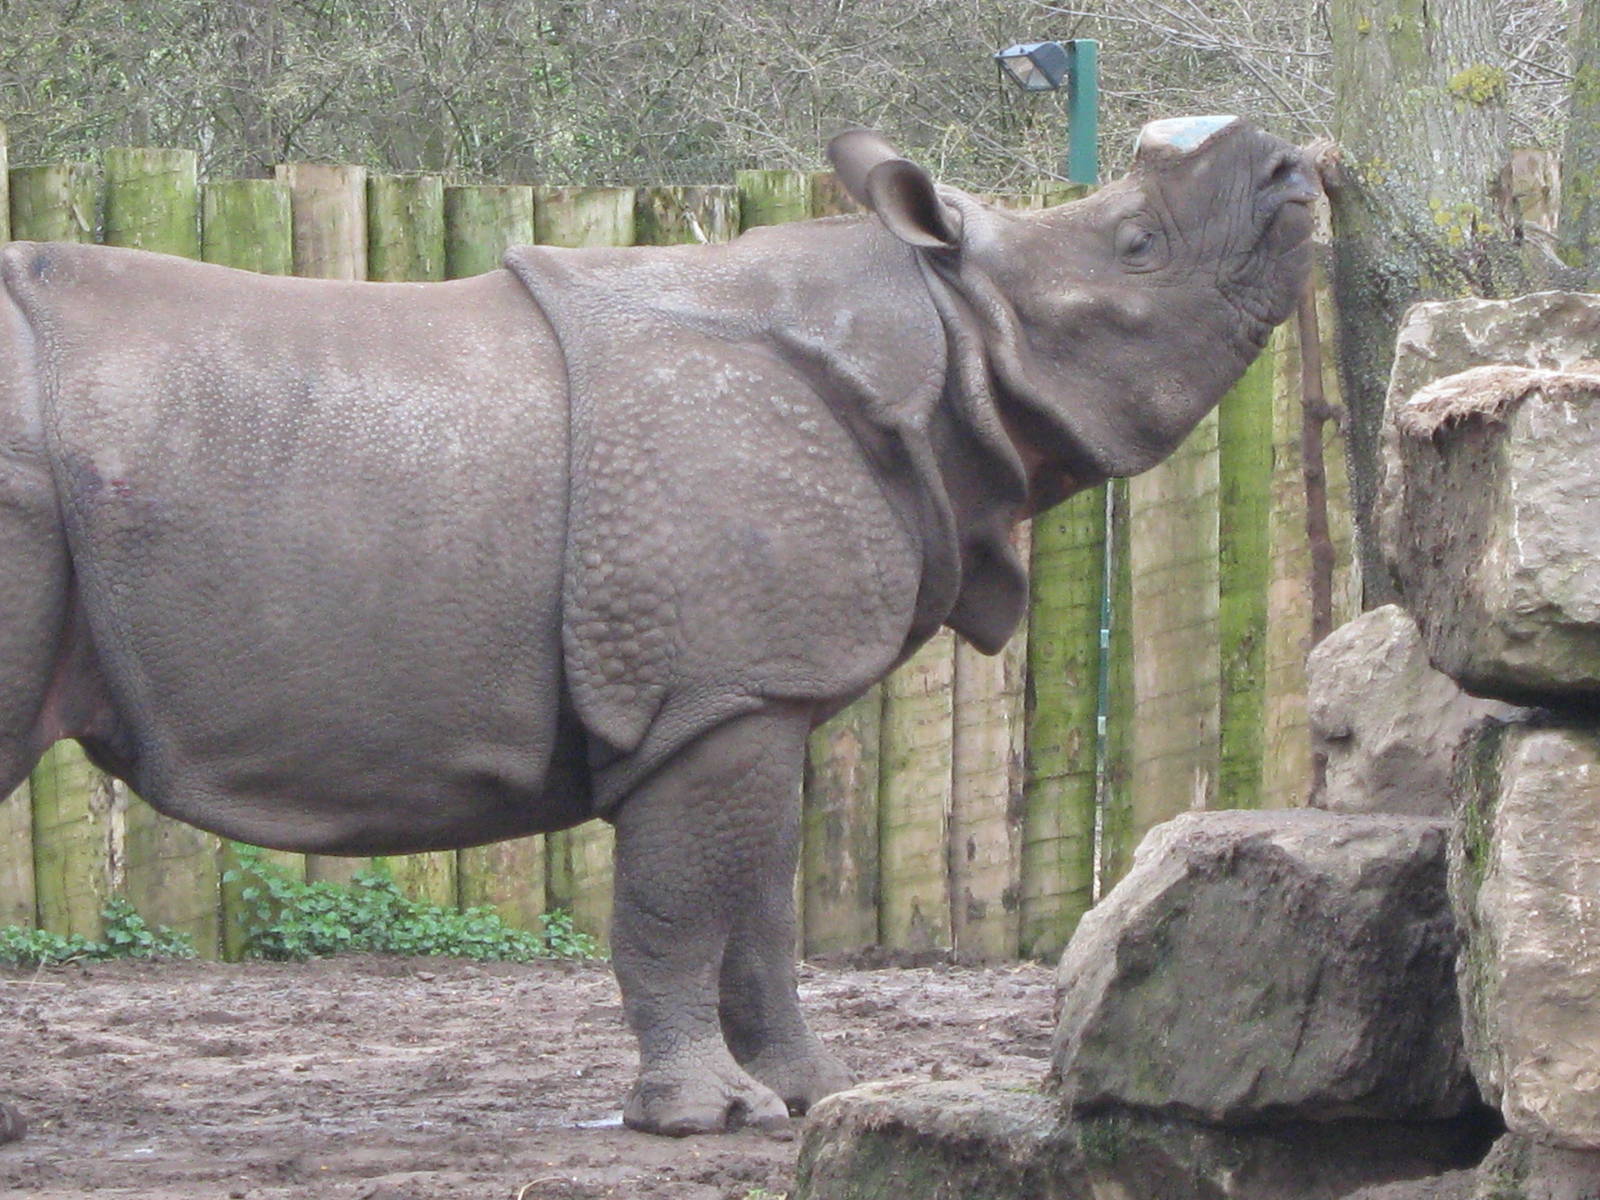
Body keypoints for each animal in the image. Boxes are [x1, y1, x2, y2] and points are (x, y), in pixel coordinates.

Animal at [0, 116, 1317, 1136]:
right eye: (1137, 250)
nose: (1287, 170)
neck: (947, 333)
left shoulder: (754, 691)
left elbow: (763, 909)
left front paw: (808, 1095)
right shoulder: (711, 689)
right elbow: (680, 906)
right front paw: (702, 1117)